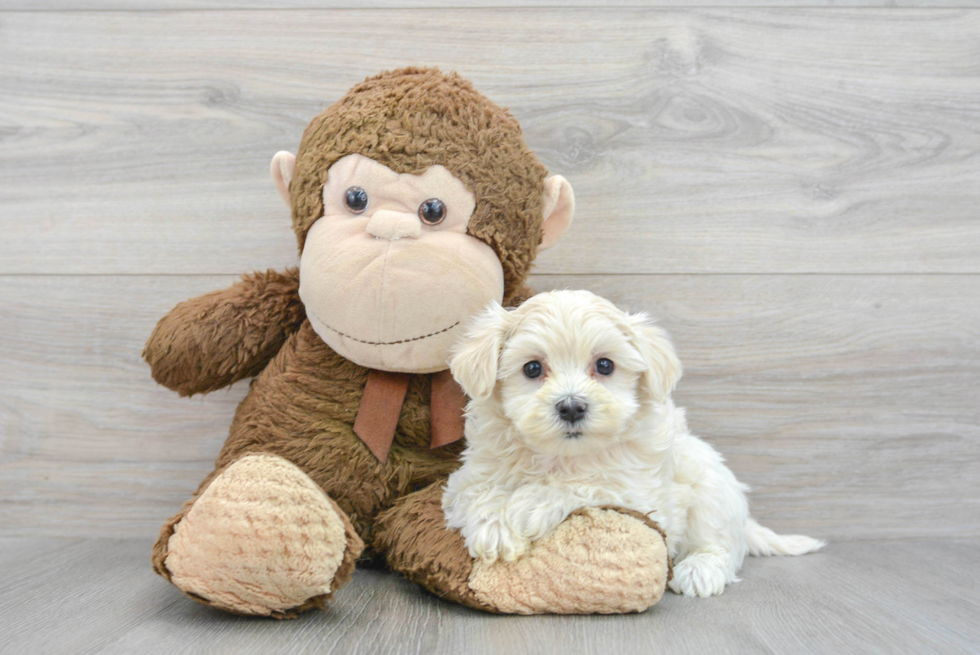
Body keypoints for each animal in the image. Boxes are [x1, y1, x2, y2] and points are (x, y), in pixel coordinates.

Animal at [442, 290, 820, 596]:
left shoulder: (642, 495)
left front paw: (529, 503)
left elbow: (591, 484)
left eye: (605, 365)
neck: (562, 457)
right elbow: (478, 491)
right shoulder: (467, 477)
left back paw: (700, 570)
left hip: (711, 489)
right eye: (532, 368)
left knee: (720, 546)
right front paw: (495, 527)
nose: (571, 406)